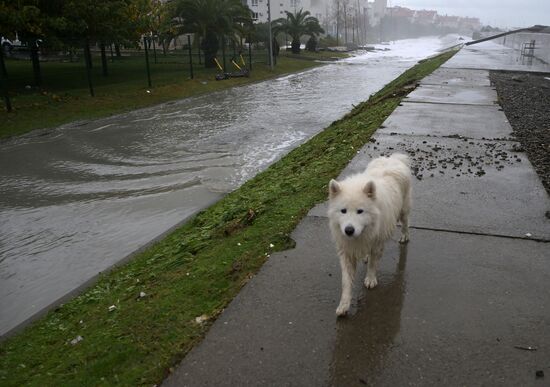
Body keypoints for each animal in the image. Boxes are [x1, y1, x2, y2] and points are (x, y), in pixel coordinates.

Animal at [330, 153, 412, 316]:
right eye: (343, 211)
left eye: (360, 211)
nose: (349, 230)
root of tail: (392, 159)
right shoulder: (347, 251)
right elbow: (346, 281)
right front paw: (344, 304)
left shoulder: (376, 243)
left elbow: (373, 263)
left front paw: (370, 279)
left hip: (403, 210)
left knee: (406, 223)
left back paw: (404, 236)